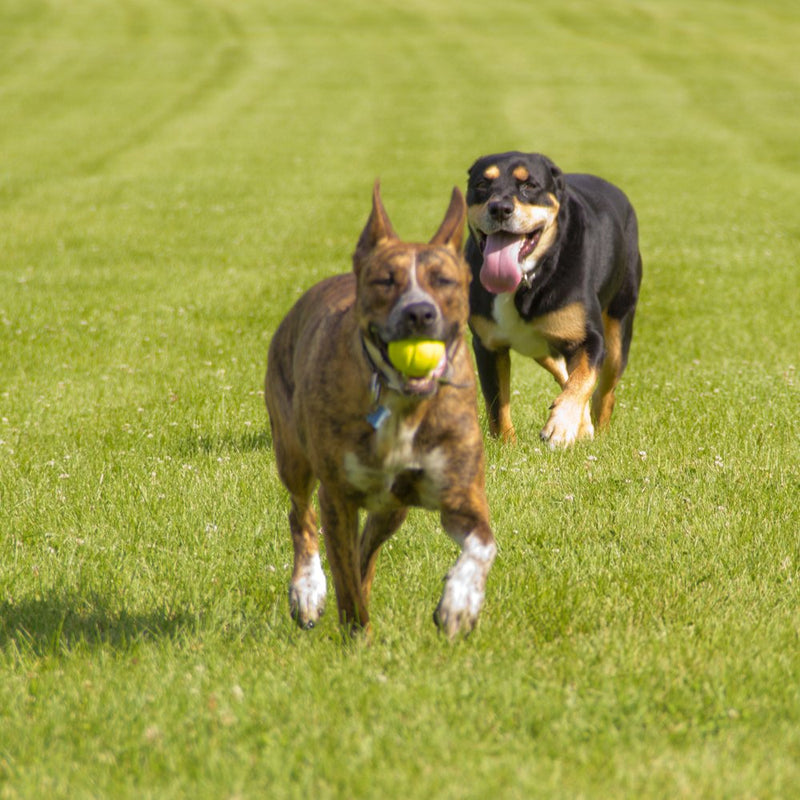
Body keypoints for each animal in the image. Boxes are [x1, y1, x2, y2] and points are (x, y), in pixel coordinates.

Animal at [266, 181, 496, 636]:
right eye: (385, 281)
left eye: (444, 280)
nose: (419, 312)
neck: (403, 404)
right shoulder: (338, 496)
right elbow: (347, 588)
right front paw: (356, 636)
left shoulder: (460, 493)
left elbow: (484, 543)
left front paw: (460, 600)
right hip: (292, 454)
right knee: (301, 516)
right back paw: (307, 589)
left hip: (393, 509)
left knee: (366, 550)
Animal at [462, 150, 644, 446]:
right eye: (481, 184)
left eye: (529, 185)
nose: (499, 208)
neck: (526, 280)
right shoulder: (488, 345)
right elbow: (497, 403)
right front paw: (506, 444)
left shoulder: (588, 338)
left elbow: (582, 380)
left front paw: (560, 425)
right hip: (538, 344)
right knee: (561, 368)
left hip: (618, 330)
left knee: (604, 392)